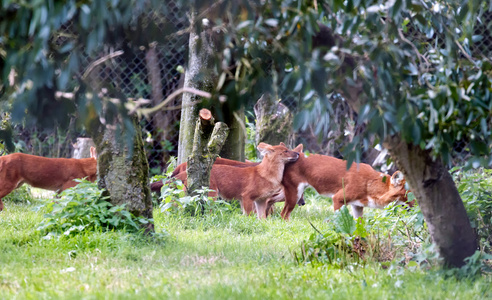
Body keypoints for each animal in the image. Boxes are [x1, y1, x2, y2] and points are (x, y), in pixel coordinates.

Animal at [276, 144, 412, 219]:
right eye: (407, 196)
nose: (416, 206)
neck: (369, 184)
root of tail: (296, 153)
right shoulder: (338, 199)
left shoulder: (357, 206)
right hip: (294, 195)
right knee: (283, 214)